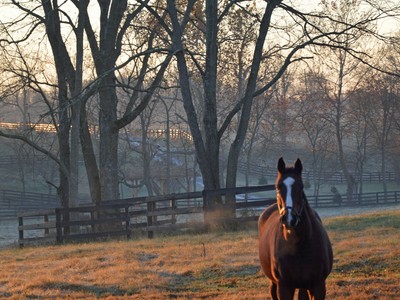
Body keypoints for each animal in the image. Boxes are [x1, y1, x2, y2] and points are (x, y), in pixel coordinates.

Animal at [258, 158, 332, 298]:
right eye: (278, 186)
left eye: (301, 186)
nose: (289, 218)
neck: (299, 246)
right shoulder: (284, 286)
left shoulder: (318, 286)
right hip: (274, 283)